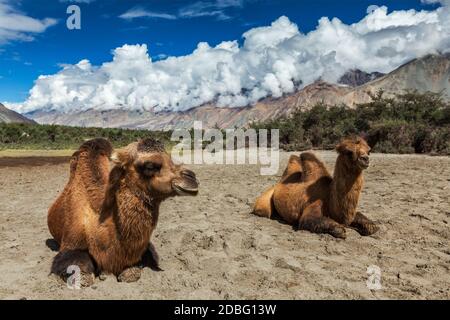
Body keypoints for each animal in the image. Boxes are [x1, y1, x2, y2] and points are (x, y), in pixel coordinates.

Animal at [47, 138, 199, 284]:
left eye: (169, 158)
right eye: (149, 166)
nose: (192, 178)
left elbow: (132, 272)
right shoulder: (70, 245)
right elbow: (84, 276)